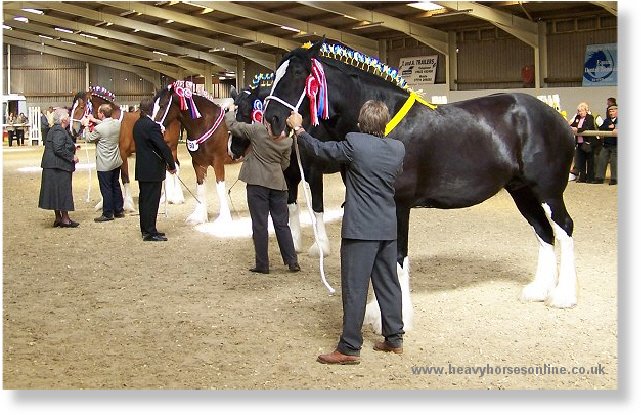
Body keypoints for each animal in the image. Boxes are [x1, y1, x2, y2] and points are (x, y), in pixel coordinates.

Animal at [151, 80, 239, 224]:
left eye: (162, 106)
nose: (152, 127)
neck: (206, 124)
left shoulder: (218, 163)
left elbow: (220, 188)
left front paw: (224, 218)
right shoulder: (198, 164)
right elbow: (200, 189)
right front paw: (199, 217)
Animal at [229, 82, 340, 256]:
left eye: (246, 114)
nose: (232, 149)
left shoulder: (315, 174)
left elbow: (317, 207)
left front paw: (321, 246)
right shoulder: (289, 175)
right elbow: (292, 206)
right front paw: (294, 242)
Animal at [260, 40, 576, 334]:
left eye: (298, 73)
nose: (271, 119)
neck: (384, 124)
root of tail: (557, 116)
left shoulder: (398, 205)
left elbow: (397, 257)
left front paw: (395, 318)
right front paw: (378, 312)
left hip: (548, 192)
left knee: (563, 228)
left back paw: (563, 296)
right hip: (522, 192)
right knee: (544, 232)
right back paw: (539, 291)